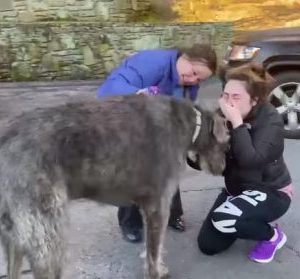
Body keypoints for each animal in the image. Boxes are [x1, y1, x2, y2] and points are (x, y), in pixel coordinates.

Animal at [0, 94, 227, 279]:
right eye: (227, 144)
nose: (223, 169)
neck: (190, 124)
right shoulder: (158, 203)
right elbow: (154, 248)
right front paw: (157, 272)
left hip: (13, 233)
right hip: (47, 233)